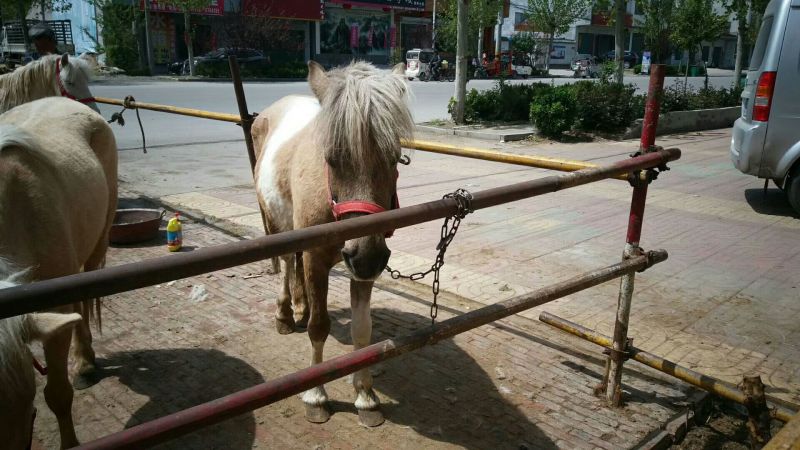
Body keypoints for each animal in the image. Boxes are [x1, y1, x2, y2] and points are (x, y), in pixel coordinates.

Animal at [252, 61, 413, 427]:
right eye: (331, 159)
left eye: (395, 157)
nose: (367, 257)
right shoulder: (316, 259)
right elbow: (319, 327)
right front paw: (316, 395)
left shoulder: (361, 269)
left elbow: (362, 331)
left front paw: (365, 396)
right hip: (278, 226)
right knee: (287, 263)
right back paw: (285, 313)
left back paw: (301, 306)